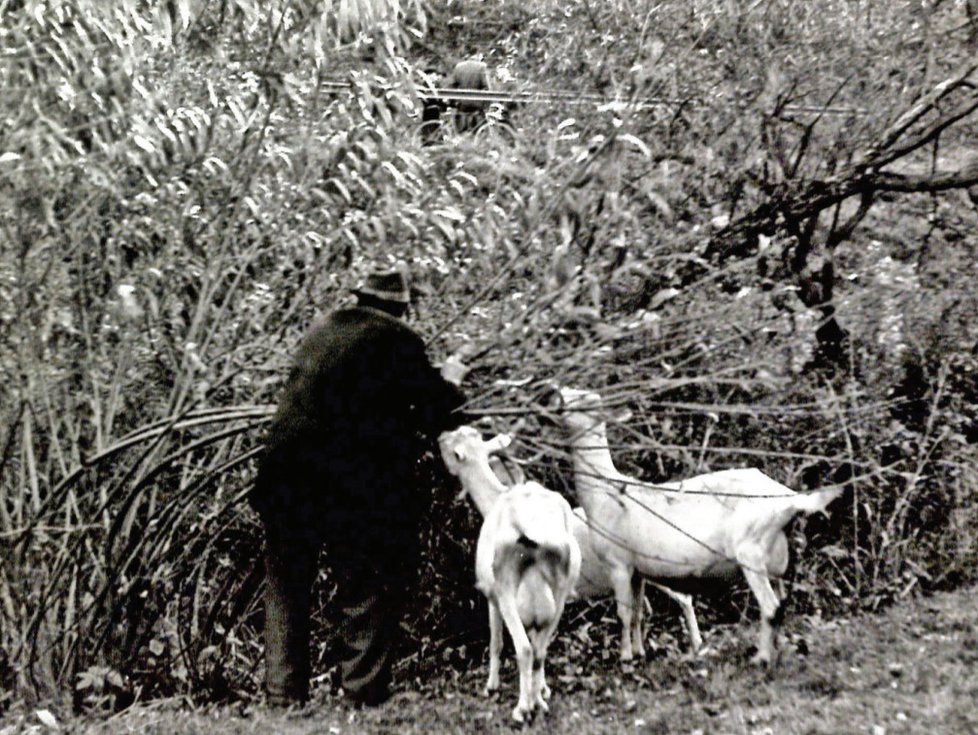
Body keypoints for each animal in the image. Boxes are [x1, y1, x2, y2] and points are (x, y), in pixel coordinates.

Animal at [552, 392, 844, 668]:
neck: (605, 492)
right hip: (776, 557)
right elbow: (637, 614)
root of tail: (790, 499)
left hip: (751, 551)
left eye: (584, 401)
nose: (555, 393)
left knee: (770, 607)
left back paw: (760, 658)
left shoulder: (618, 562)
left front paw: (624, 659)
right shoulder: (637, 570)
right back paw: (777, 652)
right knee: (781, 605)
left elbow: (623, 614)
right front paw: (639, 653)